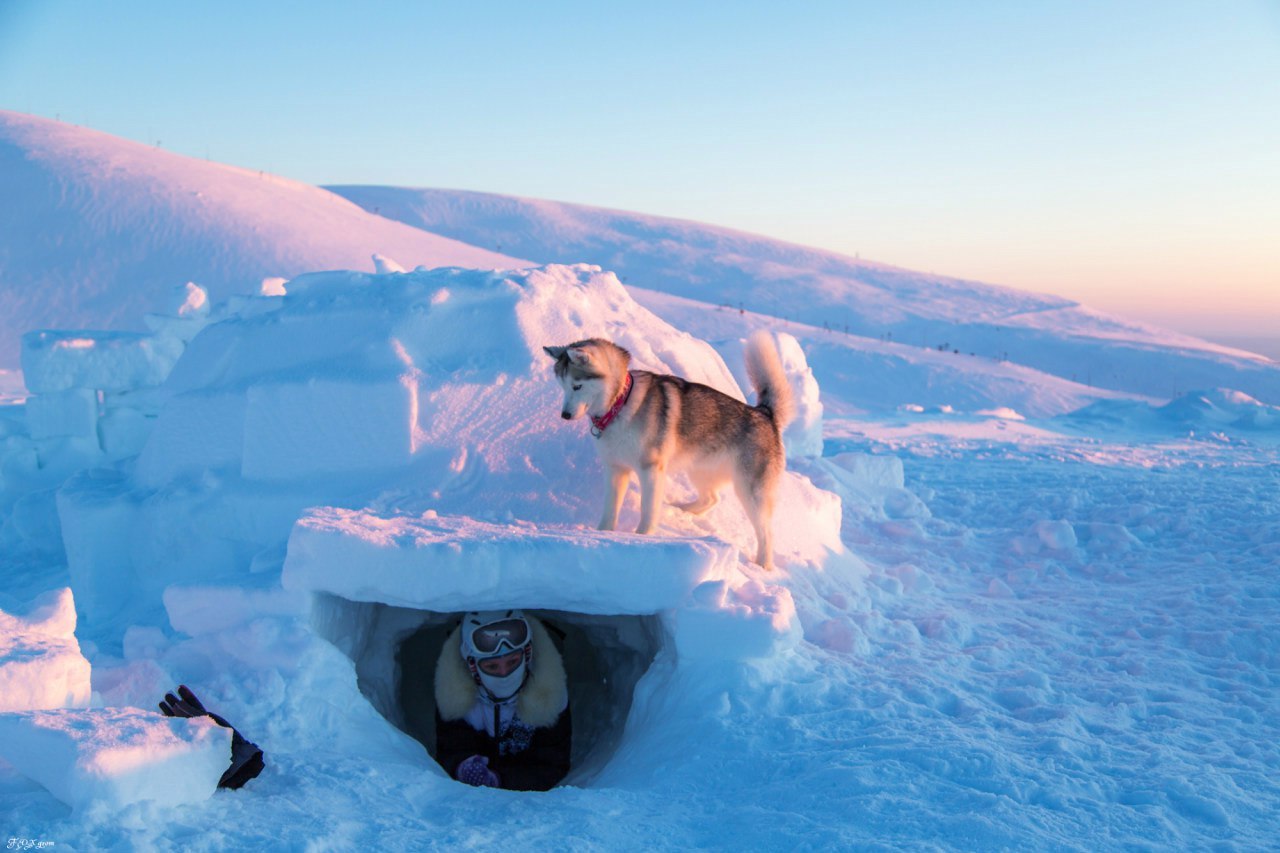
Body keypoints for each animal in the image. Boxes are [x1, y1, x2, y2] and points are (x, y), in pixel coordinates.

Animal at [545, 327, 793, 568]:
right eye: (562, 386)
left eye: (577, 386)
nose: (564, 415)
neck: (620, 404)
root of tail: (765, 414)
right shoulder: (616, 469)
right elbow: (609, 511)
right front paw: (603, 536)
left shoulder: (651, 469)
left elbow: (647, 510)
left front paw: (641, 538)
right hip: (699, 470)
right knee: (712, 498)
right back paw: (680, 510)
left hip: (750, 491)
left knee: (766, 532)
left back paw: (762, 565)